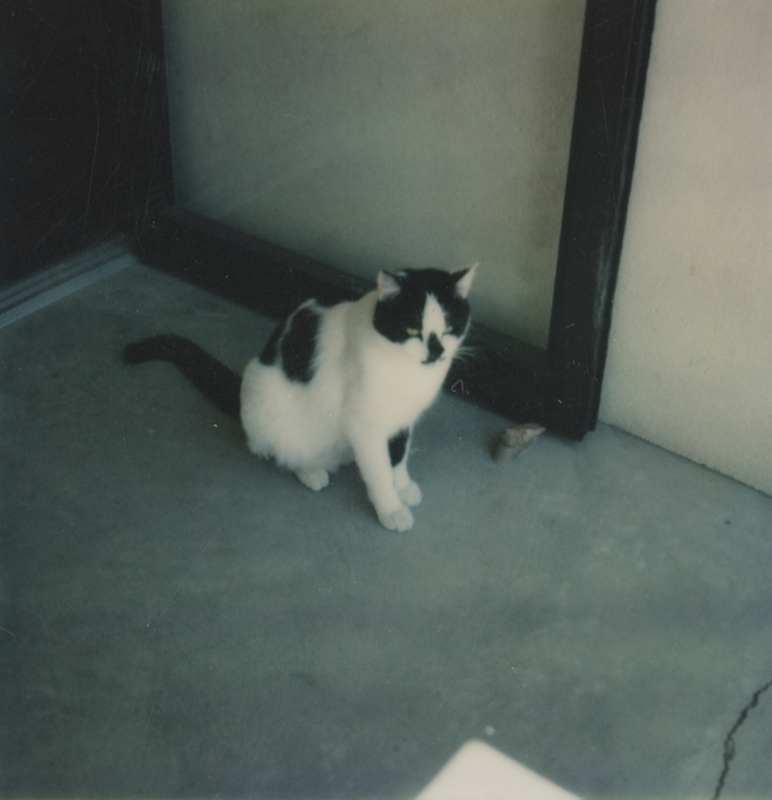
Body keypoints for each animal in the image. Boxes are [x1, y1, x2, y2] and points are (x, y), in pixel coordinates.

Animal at [123, 266, 474, 536]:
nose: (435, 351)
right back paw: (311, 470)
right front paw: (390, 508)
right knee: (279, 450)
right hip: (266, 407)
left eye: (449, 329)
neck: (406, 372)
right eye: (412, 329)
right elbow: (378, 472)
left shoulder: (402, 419)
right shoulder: (365, 424)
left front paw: (402, 485)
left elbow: (397, 456)